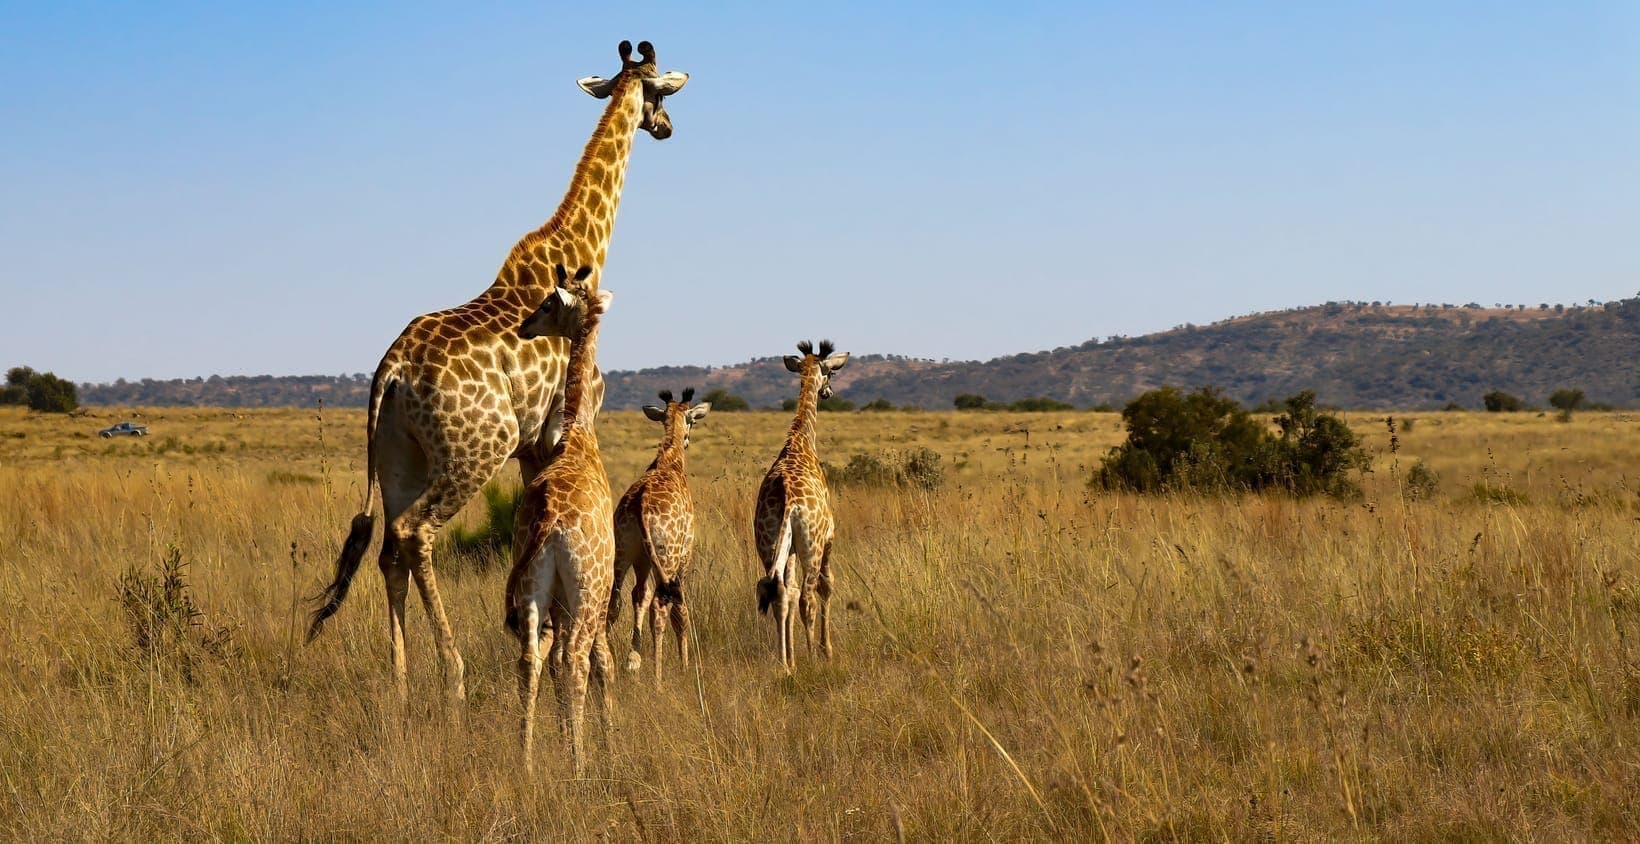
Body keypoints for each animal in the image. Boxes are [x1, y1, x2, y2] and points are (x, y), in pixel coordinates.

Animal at [305, 41, 687, 709]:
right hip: (473, 451)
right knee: (414, 532)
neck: (585, 246)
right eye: (660, 92)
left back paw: (400, 678)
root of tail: (389, 373)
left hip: (399, 457)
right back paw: (451, 674)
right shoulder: (565, 426)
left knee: (386, 549)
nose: (666, 128)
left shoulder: (534, 446)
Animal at [609, 387, 711, 683]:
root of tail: (639, 504)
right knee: (661, 604)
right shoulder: (685, 554)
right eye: (693, 420)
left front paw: (633, 660)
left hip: (623, 551)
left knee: (615, 601)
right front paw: (685, 665)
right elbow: (681, 608)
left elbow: (638, 596)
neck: (670, 462)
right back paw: (658, 679)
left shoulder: (642, 557)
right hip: (667, 554)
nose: (688, 440)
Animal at [754, 340, 850, 672]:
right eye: (831, 373)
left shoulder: (789, 547)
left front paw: (792, 658)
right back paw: (813, 660)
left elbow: (790, 592)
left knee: (781, 591)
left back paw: (785, 664)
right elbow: (827, 585)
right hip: (811, 545)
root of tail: (789, 499)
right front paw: (825, 651)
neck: (801, 440)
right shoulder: (830, 536)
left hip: (768, 544)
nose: (828, 392)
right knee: (807, 594)